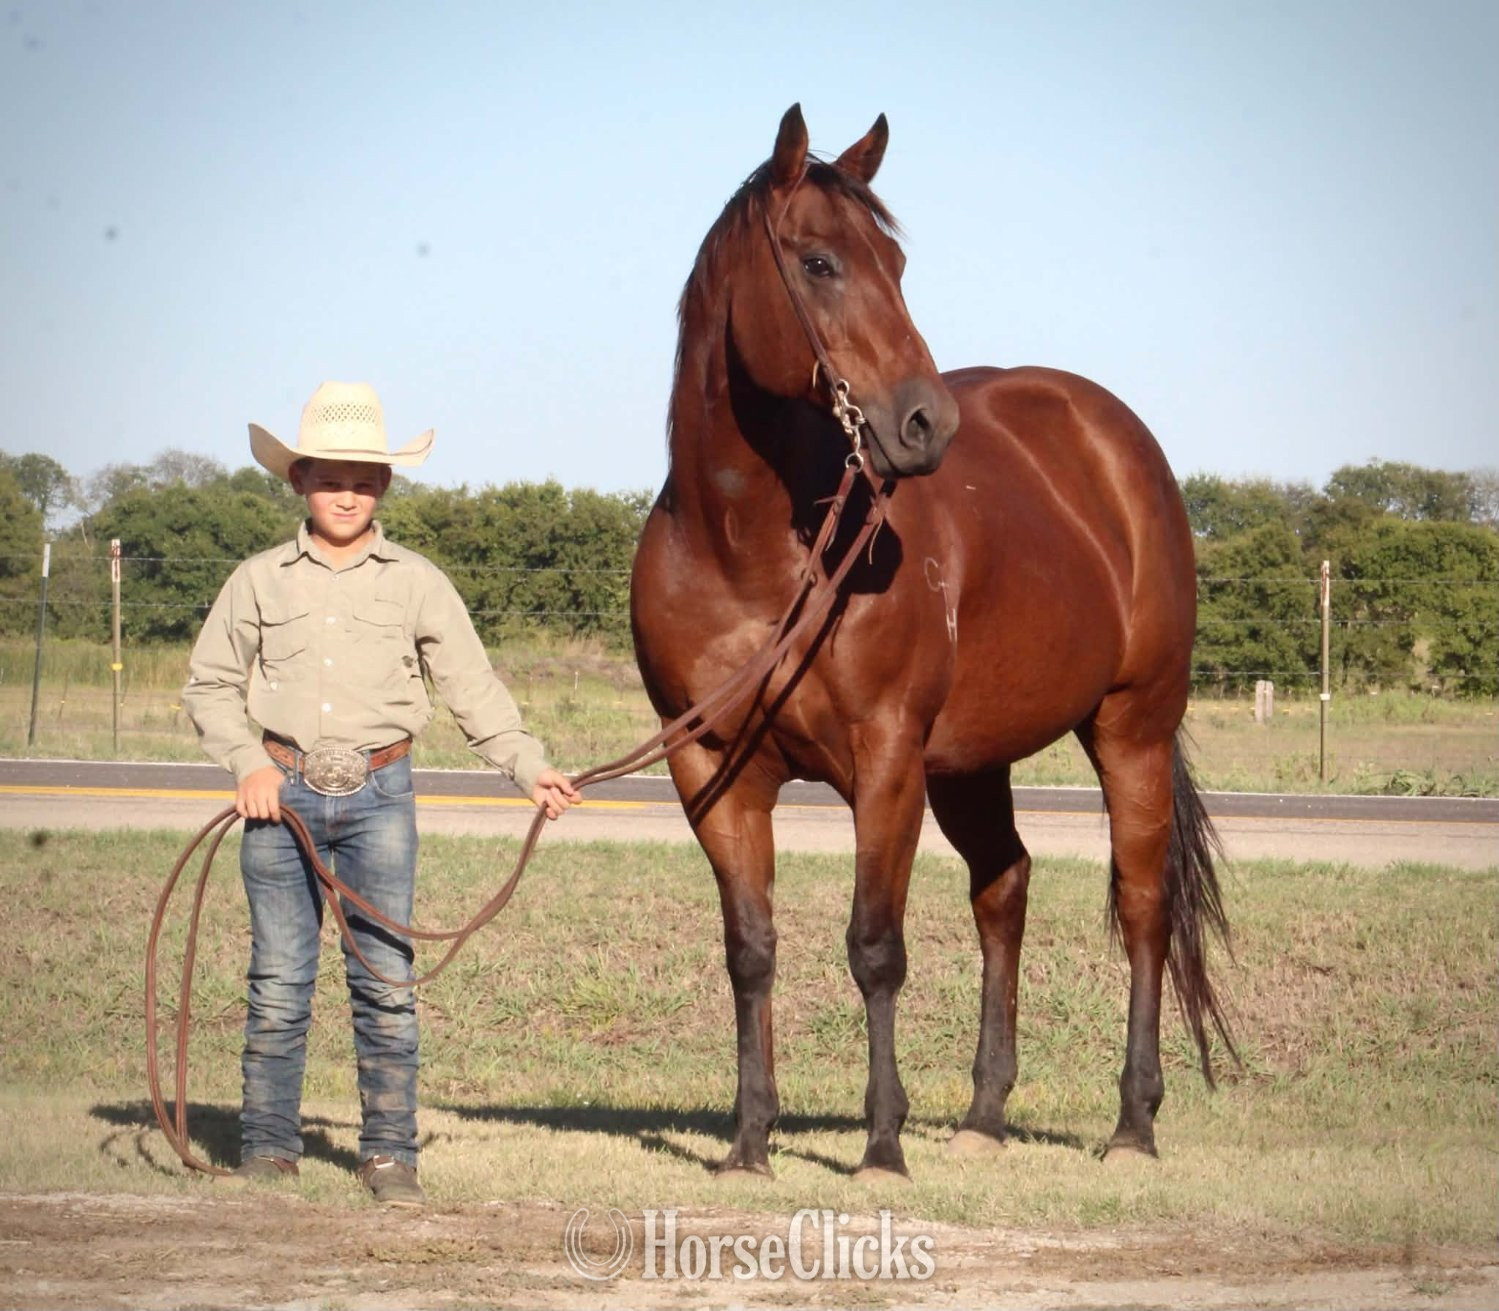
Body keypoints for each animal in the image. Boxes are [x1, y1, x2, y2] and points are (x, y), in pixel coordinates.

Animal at [629, 104, 1233, 1181]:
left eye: (898, 262)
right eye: (819, 261)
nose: (924, 422)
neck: (750, 553)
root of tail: (1111, 438)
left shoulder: (883, 761)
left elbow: (874, 946)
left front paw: (879, 1144)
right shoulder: (711, 770)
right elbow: (750, 947)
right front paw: (748, 1142)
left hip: (1130, 727)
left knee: (1139, 905)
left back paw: (1132, 1122)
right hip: (971, 761)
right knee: (1004, 888)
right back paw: (985, 1113)